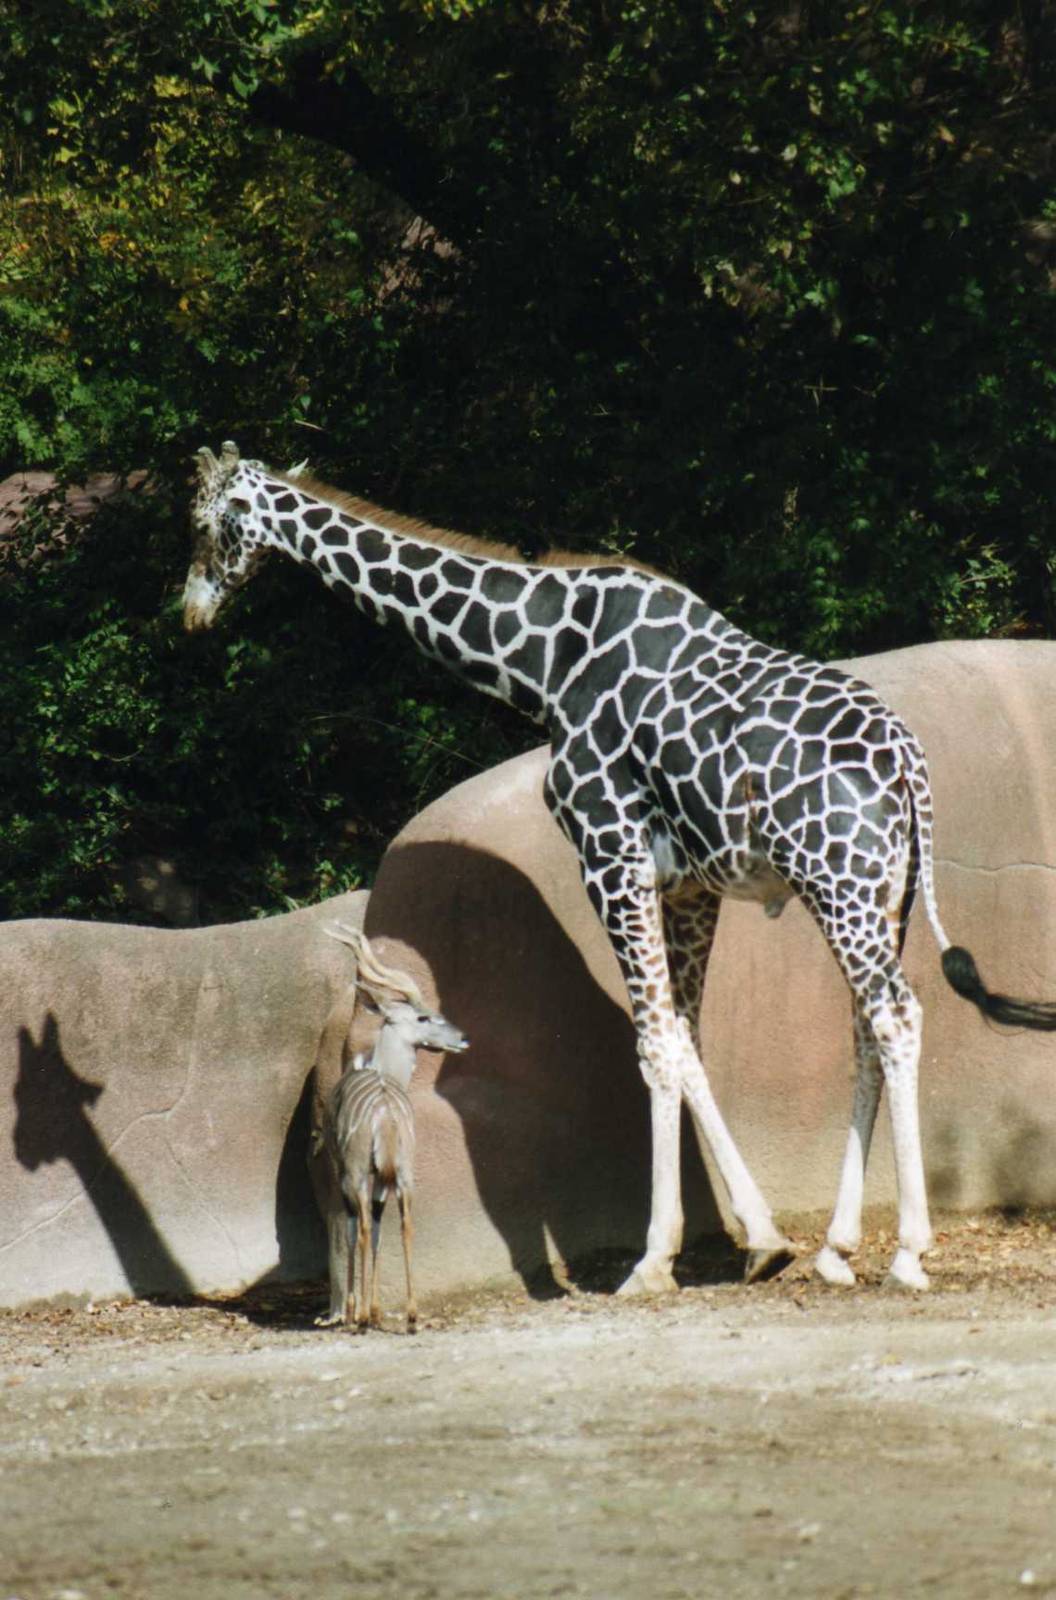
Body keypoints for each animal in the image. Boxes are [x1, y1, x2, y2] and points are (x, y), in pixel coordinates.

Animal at [182, 440, 1056, 1294]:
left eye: (205, 521)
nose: (190, 610)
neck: (545, 662)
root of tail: (909, 762)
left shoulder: (608, 853)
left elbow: (654, 1044)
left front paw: (652, 1260)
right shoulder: (691, 885)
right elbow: (686, 1036)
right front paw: (762, 1239)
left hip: (839, 882)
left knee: (897, 1017)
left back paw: (908, 1253)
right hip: (880, 892)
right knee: (866, 1028)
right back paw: (837, 1249)